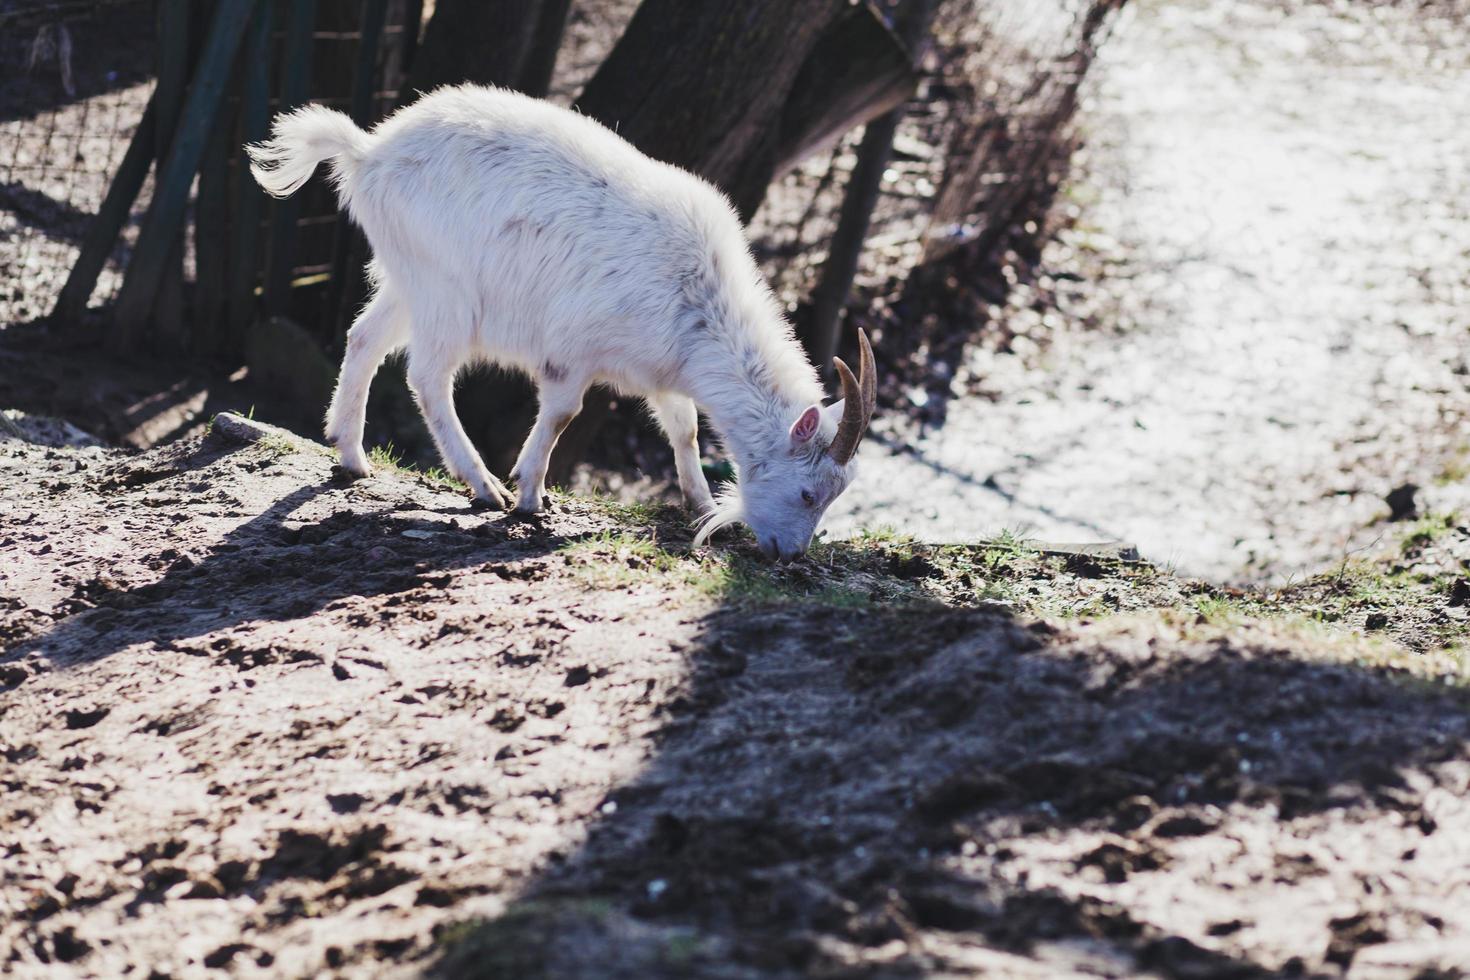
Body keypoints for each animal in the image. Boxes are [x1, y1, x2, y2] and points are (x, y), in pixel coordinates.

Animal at [246, 84, 876, 558]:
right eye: (808, 494)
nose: (788, 556)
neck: (698, 301)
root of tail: (367, 152)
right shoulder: (571, 353)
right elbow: (562, 414)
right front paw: (529, 494)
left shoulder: (661, 370)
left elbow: (684, 428)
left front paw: (698, 504)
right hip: (446, 293)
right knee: (426, 377)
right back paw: (483, 486)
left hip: (407, 281)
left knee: (362, 339)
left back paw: (351, 456)